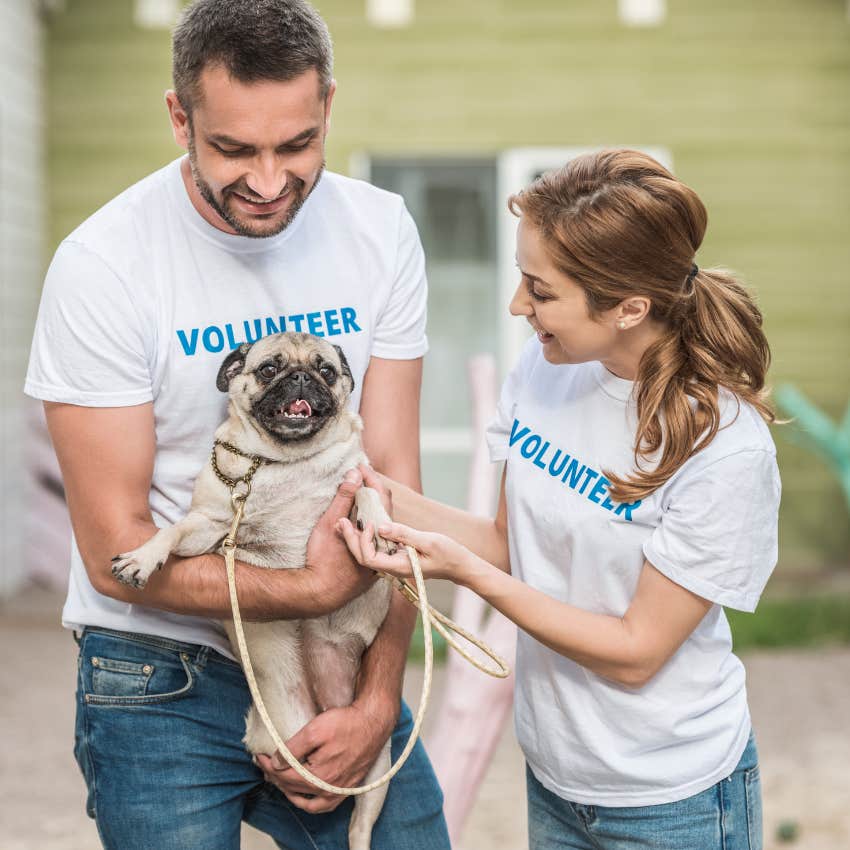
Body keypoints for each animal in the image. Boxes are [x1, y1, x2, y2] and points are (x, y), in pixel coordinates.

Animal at [108, 330, 394, 848]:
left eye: (325, 370)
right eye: (269, 369)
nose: (299, 377)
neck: (286, 463)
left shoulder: (359, 477)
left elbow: (365, 489)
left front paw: (380, 525)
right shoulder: (210, 528)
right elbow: (173, 531)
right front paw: (143, 557)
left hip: (378, 766)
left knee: (359, 824)